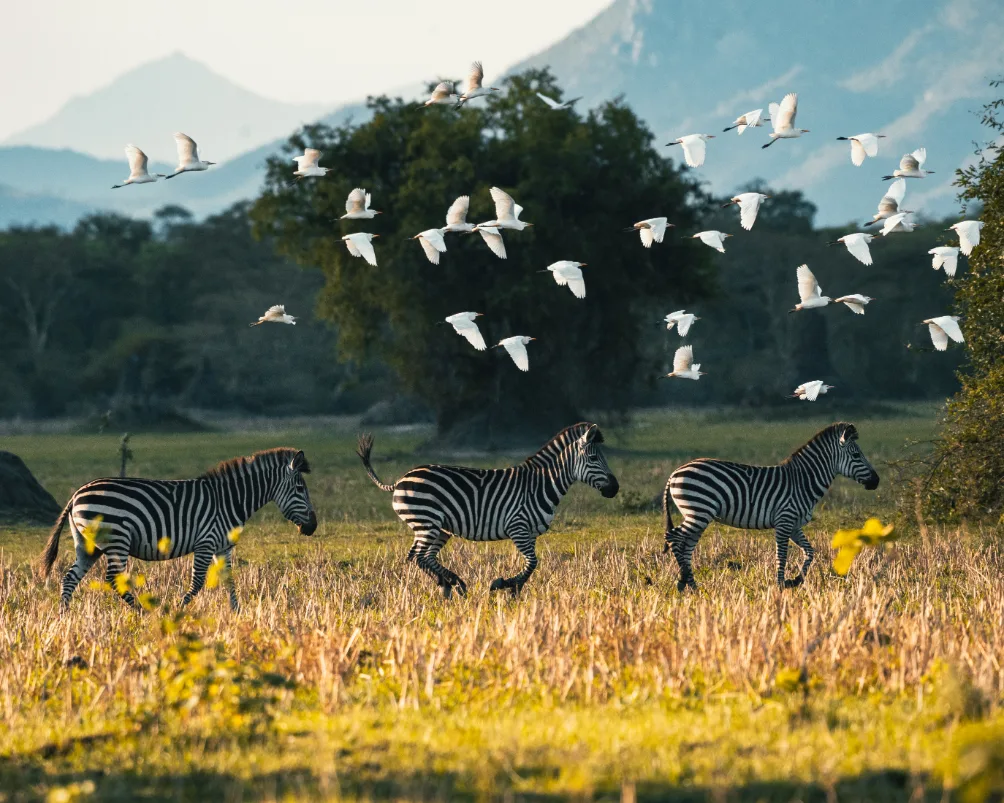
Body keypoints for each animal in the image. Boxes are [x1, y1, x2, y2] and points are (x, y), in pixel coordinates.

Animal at [39, 448, 317, 611]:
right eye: (300, 489)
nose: (313, 527)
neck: (230, 499)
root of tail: (76, 494)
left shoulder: (223, 546)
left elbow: (230, 580)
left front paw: (238, 613)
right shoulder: (206, 542)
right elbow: (197, 583)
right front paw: (178, 610)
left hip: (88, 545)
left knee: (70, 578)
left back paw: (64, 615)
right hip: (117, 538)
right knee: (113, 579)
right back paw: (143, 612)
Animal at [356, 422, 619, 597]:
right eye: (594, 459)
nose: (615, 488)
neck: (540, 484)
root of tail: (400, 480)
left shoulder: (530, 533)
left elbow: (532, 564)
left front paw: (513, 588)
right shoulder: (518, 527)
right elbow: (533, 563)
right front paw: (506, 586)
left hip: (438, 528)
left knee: (421, 557)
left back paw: (448, 585)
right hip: (427, 522)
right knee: (420, 557)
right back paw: (453, 583)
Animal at [663, 422, 879, 591]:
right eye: (856, 455)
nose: (876, 481)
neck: (803, 481)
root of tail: (674, 473)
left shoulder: (795, 525)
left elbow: (810, 551)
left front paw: (795, 581)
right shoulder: (784, 520)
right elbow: (781, 556)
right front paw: (780, 585)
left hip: (697, 515)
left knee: (686, 546)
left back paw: (693, 586)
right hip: (699, 511)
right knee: (673, 537)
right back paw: (682, 580)